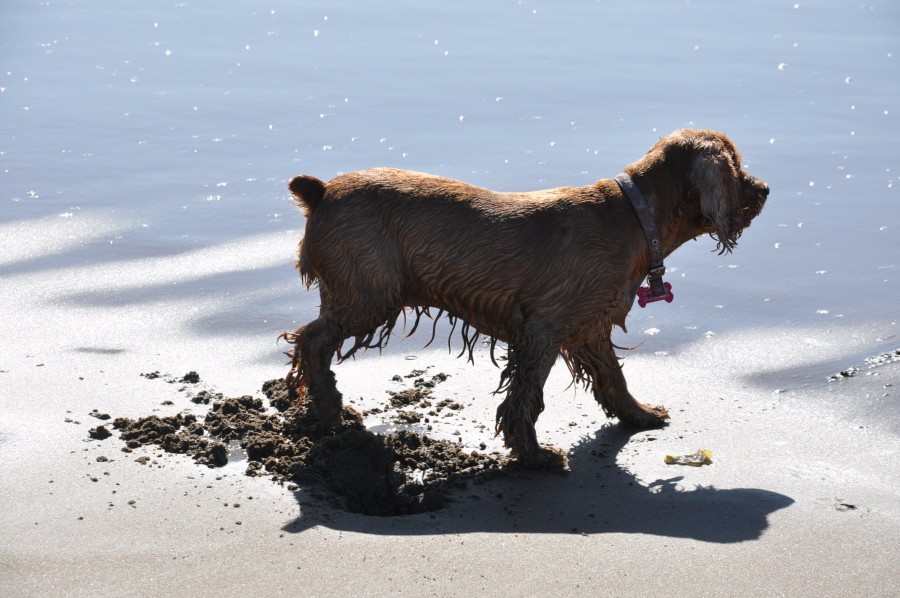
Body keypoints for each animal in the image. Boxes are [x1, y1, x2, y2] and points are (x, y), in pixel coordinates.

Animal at [282, 130, 768, 468]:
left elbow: (613, 378)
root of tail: (320, 192)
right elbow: (527, 396)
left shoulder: (589, 326)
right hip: (369, 295)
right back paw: (331, 410)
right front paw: (534, 456)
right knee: (312, 340)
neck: (634, 215)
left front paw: (639, 414)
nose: (764, 189)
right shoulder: (544, 328)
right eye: (736, 166)